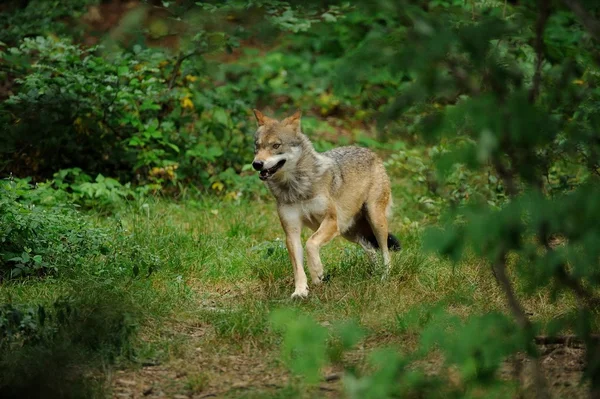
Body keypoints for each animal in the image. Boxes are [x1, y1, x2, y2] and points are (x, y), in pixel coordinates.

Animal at [251, 108, 400, 296]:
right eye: (257, 147)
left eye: (276, 146)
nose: (257, 164)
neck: (297, 187)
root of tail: (370, 151)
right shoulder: (291, 232)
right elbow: (298, 267)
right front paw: (300, 291)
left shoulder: (330, 221)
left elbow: (310, 244)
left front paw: (317, 274)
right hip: (348, 231)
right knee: (371, 249)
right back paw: (373, 274)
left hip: (374, 221)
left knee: (386, 252)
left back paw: (383, 278)